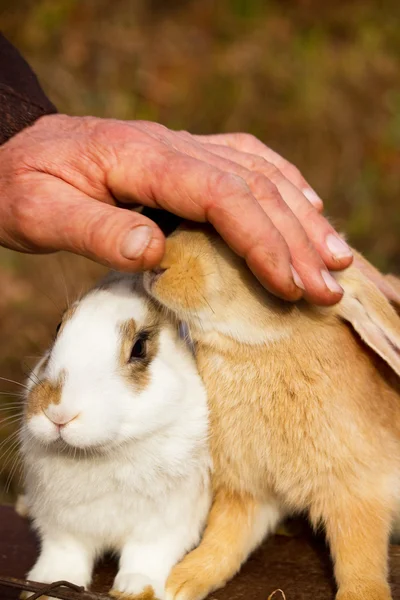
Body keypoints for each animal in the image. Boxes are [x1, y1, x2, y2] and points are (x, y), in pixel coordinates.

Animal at [20, 274, 211, 600]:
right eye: (58, 328)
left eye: (139, 348)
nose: (58, 411)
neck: (103, 453)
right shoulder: (60, 524)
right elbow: (64, 555)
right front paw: (48, 585)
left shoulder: (167, 522)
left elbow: (147, 556)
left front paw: (136, 589)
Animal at [145, 224, 400, 600]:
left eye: (245, 258)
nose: (157, 264)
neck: (258, 350)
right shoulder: (248, 491)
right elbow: (224, 538)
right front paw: (182, 581)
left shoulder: (355, 491)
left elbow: (359, 555)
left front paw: (362, 595)